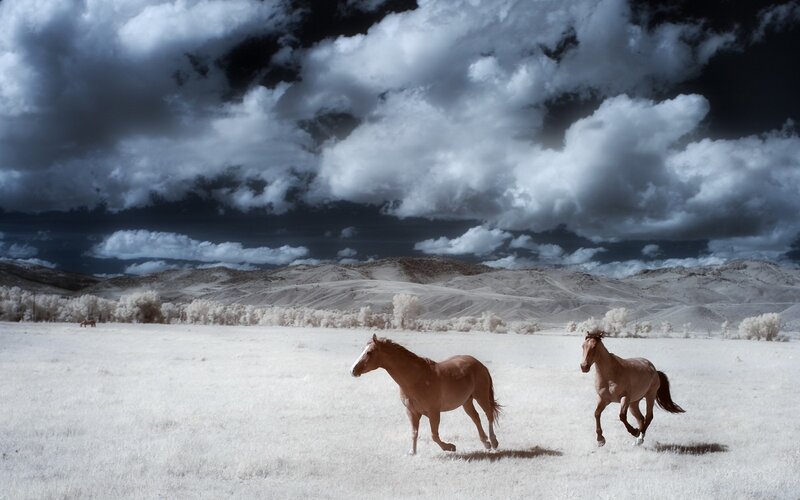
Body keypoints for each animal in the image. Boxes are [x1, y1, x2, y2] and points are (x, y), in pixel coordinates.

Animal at [351, 334, 501, 455]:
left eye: (369, 352)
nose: (353, 370)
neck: (416, 379)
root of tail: (479, 364)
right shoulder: (412, 412)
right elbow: (414, 433)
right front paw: (412, 452)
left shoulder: (434, 412)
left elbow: (434, 435)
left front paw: (450, 447)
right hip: (466, 401)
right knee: (476, 417)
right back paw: (486, 443)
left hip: (481, 397)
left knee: (488, 415)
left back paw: (493, 442)